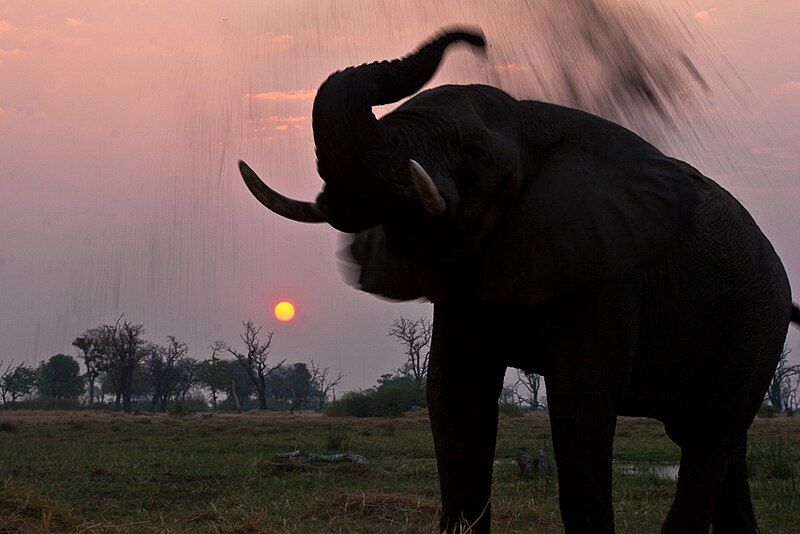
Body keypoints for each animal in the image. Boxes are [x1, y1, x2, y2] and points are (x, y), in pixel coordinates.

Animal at [238, 30, 800, 534]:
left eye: (472, 151)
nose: (478, 39)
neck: (531, 122)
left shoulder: (606, 266)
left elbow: (580, 396)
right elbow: (454, 390)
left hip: (757, 317)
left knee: (710, 432)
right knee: (715, 439)